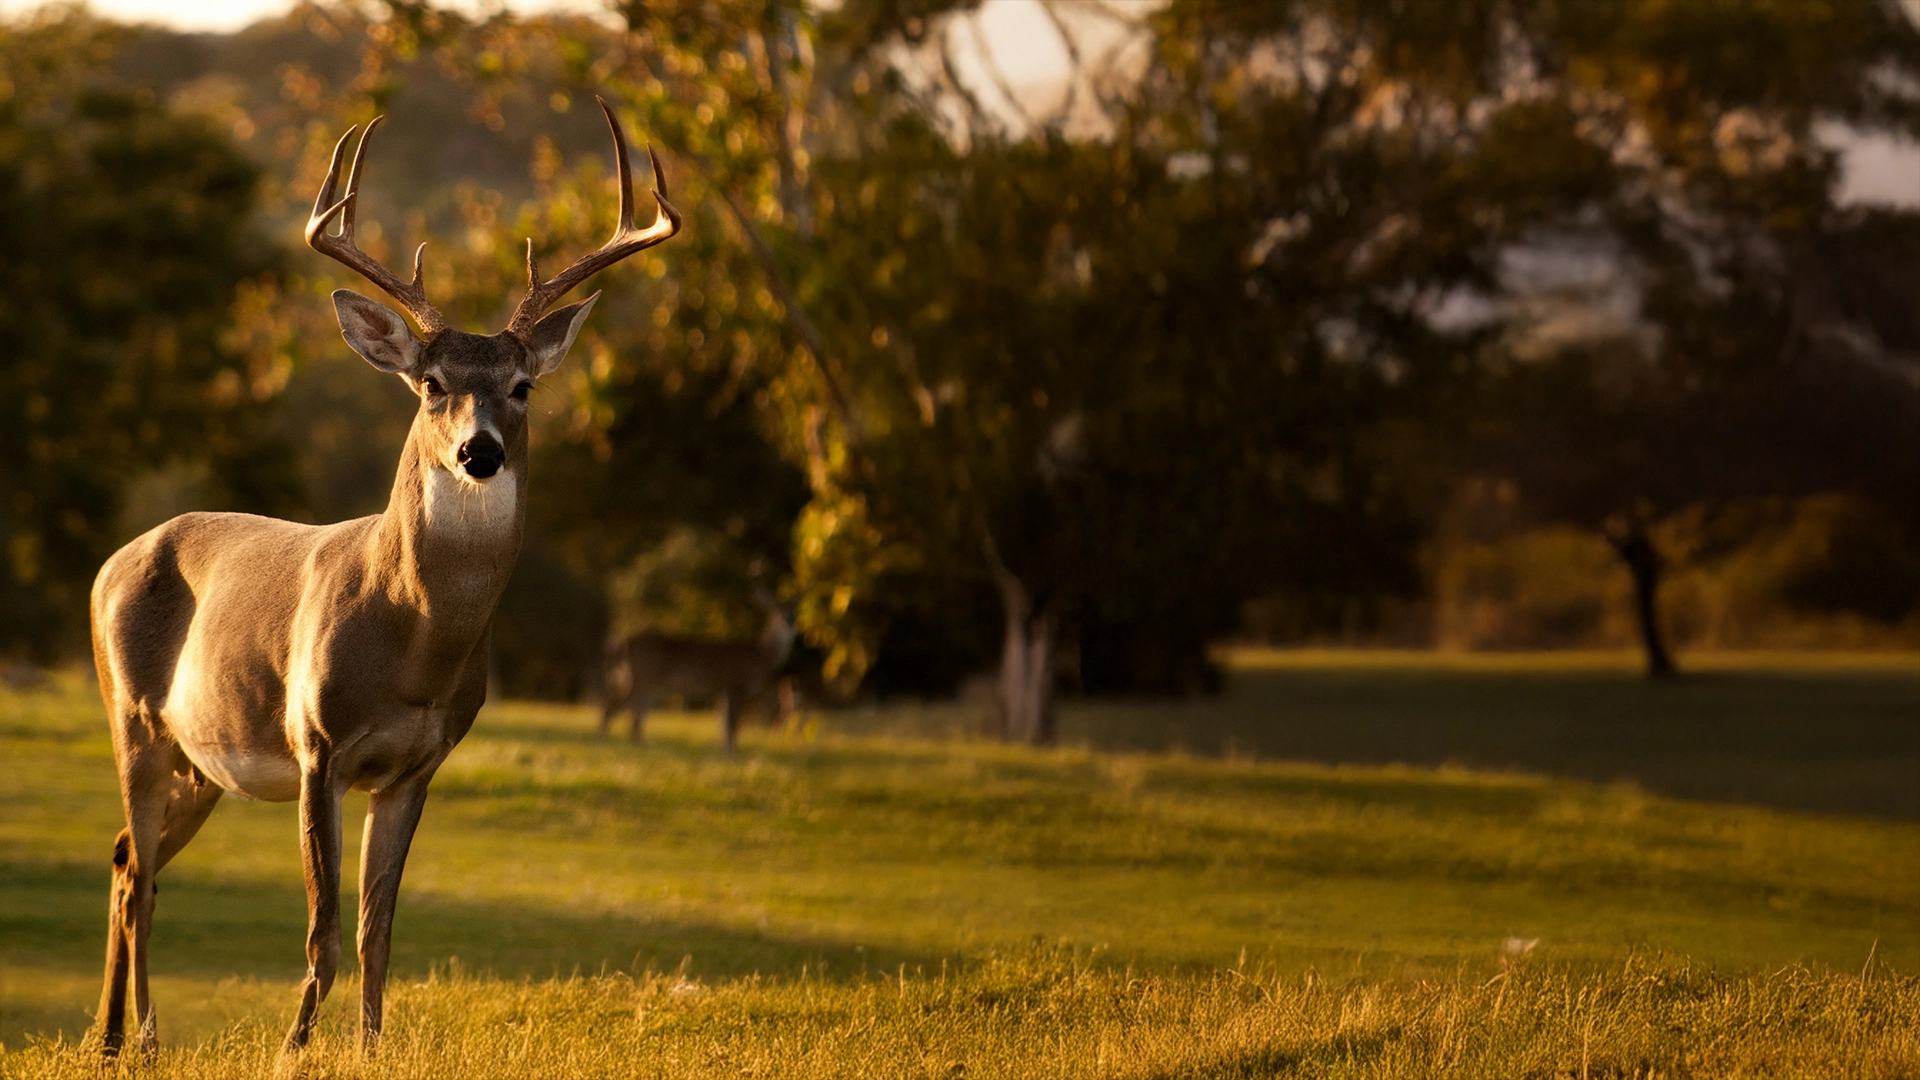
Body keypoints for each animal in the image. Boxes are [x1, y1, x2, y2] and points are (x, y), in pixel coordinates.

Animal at [87, 98, 679, 1057]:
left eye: (522, 385)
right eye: (431, 382)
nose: (481, 450)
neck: (413, 644)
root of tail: (111, 562)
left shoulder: (416, 767)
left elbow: (377, 930)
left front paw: (367, 1049)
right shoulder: (316, 744)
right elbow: (322, 928)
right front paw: (292, 1051)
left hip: (200, 763)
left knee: (119, 860)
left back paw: (104, 1040)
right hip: (133, 718)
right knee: (139, 876)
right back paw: (142, 1038)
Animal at [601, 587, 796, 753]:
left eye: (795, 609)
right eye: (776, 610)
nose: (790, 621)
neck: (760, 655)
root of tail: (623, 644)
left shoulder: (722, 691)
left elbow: (723, 724)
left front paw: (724, 753)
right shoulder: (733, 685)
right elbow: (731, 725)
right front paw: (732, 754)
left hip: (648, 684)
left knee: (634, 715)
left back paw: (641, 745)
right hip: (643, 678)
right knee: (614, 706)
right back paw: (604, 740)